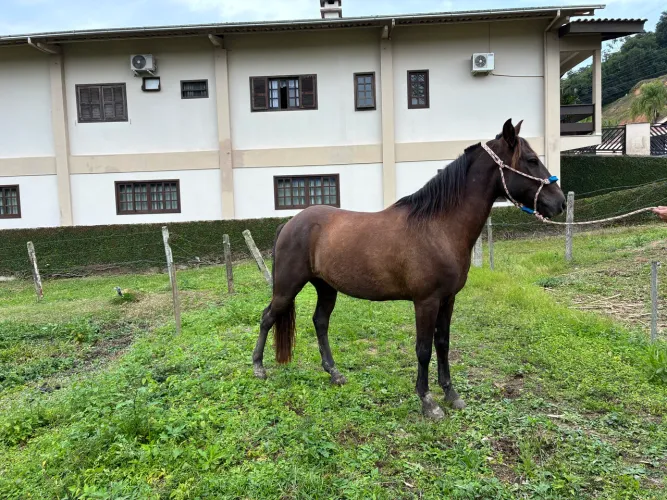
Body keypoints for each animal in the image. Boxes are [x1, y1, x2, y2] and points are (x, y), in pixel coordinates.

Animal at [252, 118, 566, 419]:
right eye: (531, 160)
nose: (560, 202)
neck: (438, 227)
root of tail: (290, 223)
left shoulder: (448, 299)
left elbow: (443, 343)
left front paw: (451, 394)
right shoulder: (426, 301)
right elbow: (424, 349)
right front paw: (428, 402)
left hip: (326, 287)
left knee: (320, 322)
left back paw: (334, 373)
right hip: (288, 286)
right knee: (268, 317)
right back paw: (258, 368)